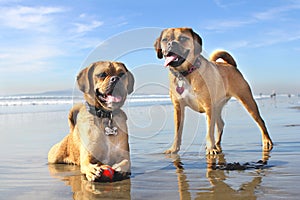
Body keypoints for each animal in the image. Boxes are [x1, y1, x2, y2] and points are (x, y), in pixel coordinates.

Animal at [155, 27, 274, 155]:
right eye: (165, 40)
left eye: (182, 38)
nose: (171, 44)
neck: (185, 73)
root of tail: (230, 65)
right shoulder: (178, 108)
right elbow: (178, 132)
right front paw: (174, 149)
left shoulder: (208, 107)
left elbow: (209, 131)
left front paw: (210, 148)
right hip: (217, 107)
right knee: (221, 124)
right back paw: (217, 144)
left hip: (247, 100)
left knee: (260, 121)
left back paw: (266, 140)